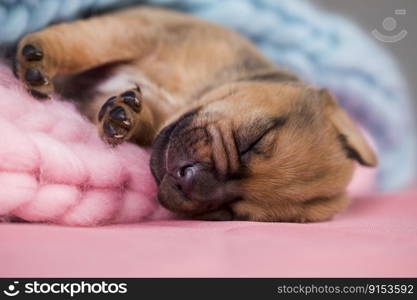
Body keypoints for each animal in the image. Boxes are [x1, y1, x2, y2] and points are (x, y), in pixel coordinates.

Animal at [14, 6, 376, 223]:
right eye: (253, 141)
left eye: (229, 212)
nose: (187, 181)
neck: (190, 93)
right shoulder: (145, 27)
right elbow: (89, 44)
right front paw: (42, 58)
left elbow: (138, 113)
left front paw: (125, 117)